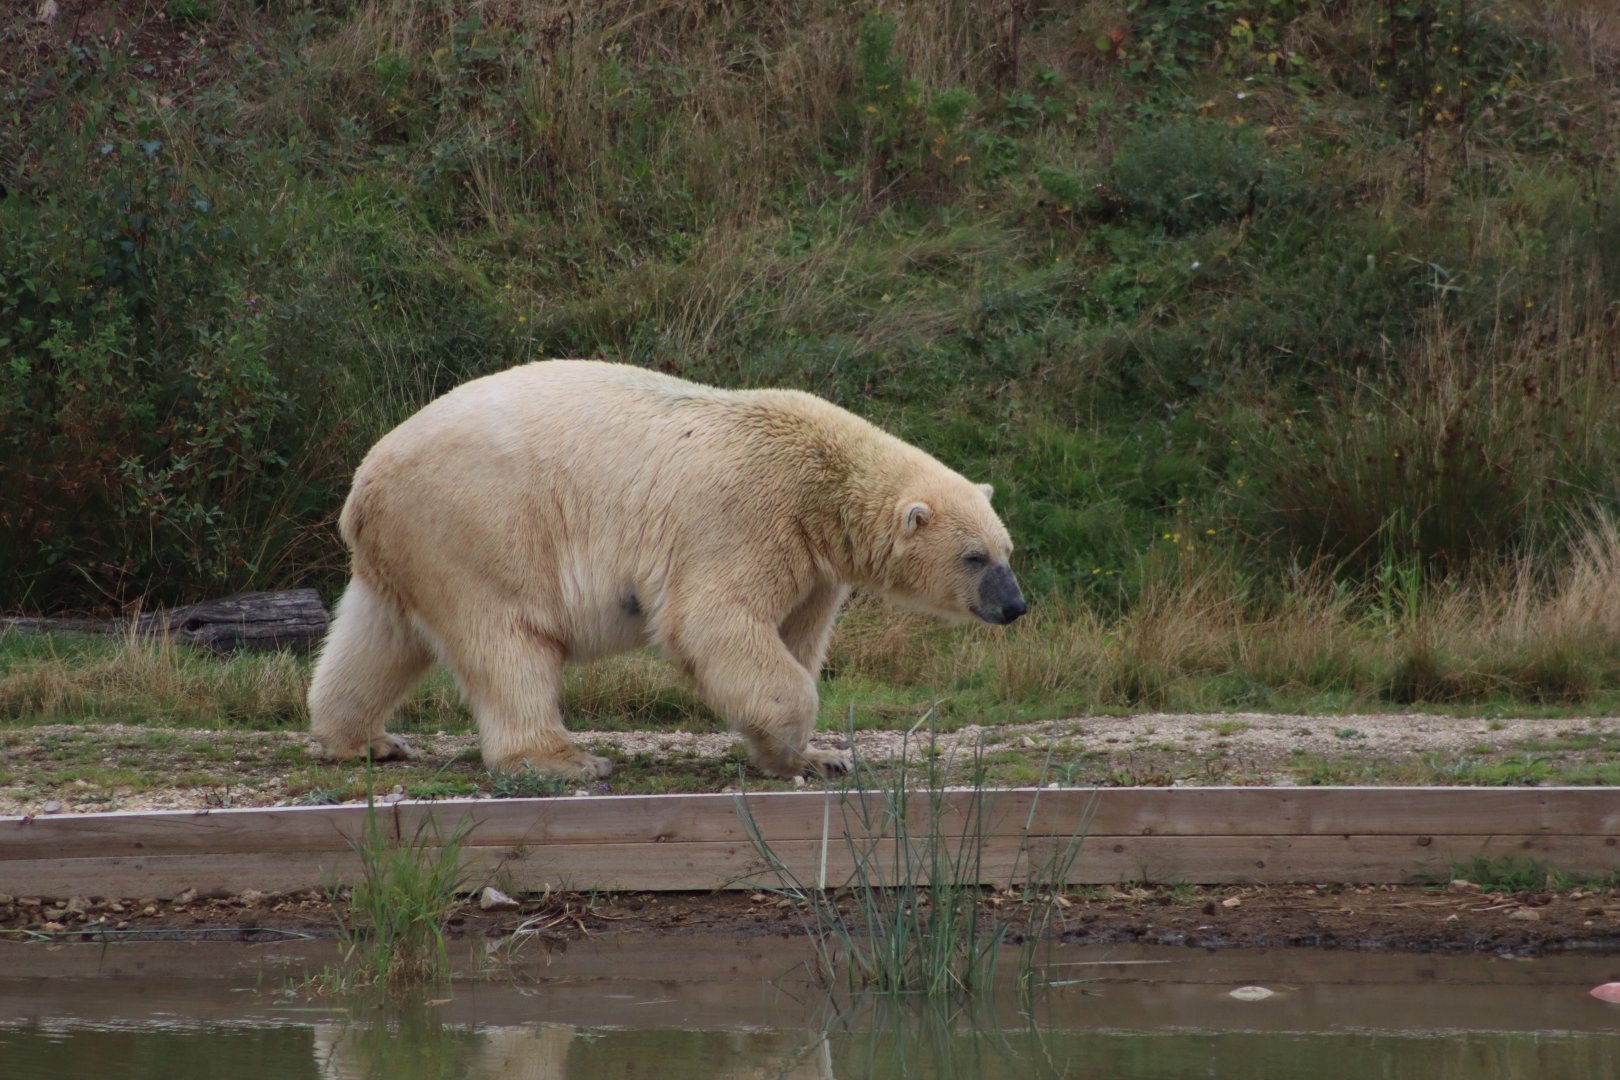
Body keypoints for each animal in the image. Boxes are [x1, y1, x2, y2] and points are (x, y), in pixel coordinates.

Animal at [306, 360, 1025, 779]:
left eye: (1007, 551)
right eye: (975, 557)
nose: (1015, 605)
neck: (822, 479)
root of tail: (364, 485)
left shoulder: (814, 562)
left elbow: (794, 633)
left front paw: (815, 757)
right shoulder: (747, 515)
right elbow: (714, 621)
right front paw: (799, 743)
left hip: (408, 544)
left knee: (379, 635)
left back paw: (363, 740)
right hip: (478, 524)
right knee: (507, 637)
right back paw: (563, 760)